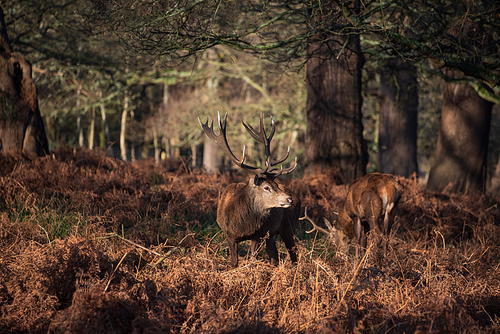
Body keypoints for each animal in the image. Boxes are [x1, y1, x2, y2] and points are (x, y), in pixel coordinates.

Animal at [198, 112, 300, 266]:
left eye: (276, 185)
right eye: (266, 187)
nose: (290, 199)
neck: (241, 225)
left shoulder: (257, 233)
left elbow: (253, 258)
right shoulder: (228, 235)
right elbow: (234, 261)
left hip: (289, 227)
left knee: (293, 253)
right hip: (271, 235)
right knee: (274, 255)